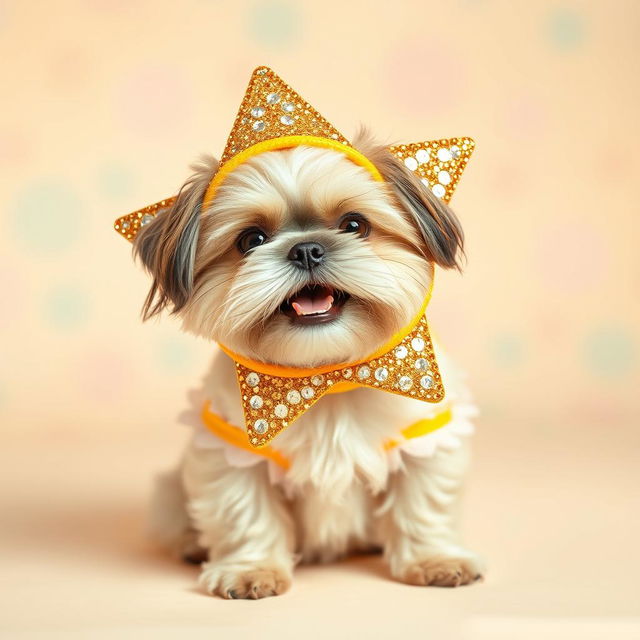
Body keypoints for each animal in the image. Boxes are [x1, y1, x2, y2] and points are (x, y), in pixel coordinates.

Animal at [119, 67, 480, 596]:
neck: (326, 377)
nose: (307, 248)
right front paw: (251, 570)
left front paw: (435, 560)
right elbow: (245, 513)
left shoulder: (426, 441)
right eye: (251, 240)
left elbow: (422, 505)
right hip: (170, 490)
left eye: (354, 225)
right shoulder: (230, 454)